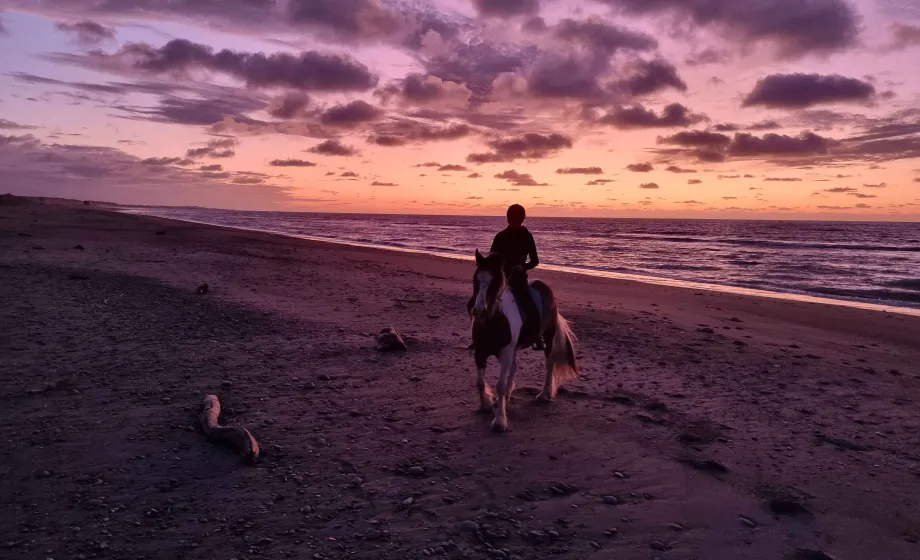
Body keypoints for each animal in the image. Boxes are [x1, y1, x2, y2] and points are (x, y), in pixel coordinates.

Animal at [469, 249, 578, 432]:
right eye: (476, 279)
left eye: (495, 282)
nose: (479, 311)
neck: (494, 321)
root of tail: (544, 287)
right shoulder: (480, 353)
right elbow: (479, 381)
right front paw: (485, 404)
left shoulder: (505, 353)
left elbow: (500, 385)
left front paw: (500, 421)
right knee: (514, 368)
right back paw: (506, 398)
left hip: (548, 338)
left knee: (549, 364)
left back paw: (544, 394)